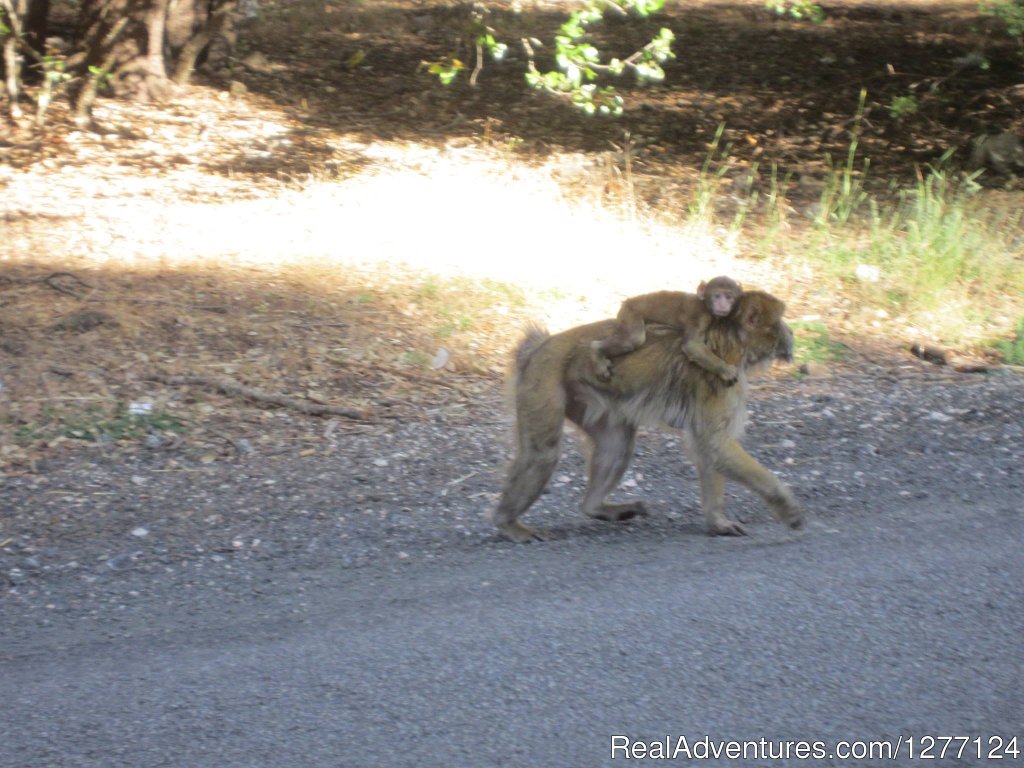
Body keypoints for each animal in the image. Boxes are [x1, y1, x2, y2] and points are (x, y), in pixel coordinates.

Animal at [491, 290, 802, 544]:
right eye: (779, 322)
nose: (791, 332)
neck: (731, 344)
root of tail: (540, 347)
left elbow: (710, 449)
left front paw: (717, 522)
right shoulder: (722, 383)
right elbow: (714, 445)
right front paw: (787, 508)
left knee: (616, 445)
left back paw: (595, 507)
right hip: (544, 378)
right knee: (542, 453)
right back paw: (507, 522)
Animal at [593, 276, 745, 385]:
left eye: (729, 297)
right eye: (717, 296)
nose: (723, 305)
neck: (705, 305)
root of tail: (627, 301)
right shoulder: (700, 316)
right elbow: (693, 345)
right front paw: (725, 369)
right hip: (630, 312)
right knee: (633, 339)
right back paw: (597, 350)